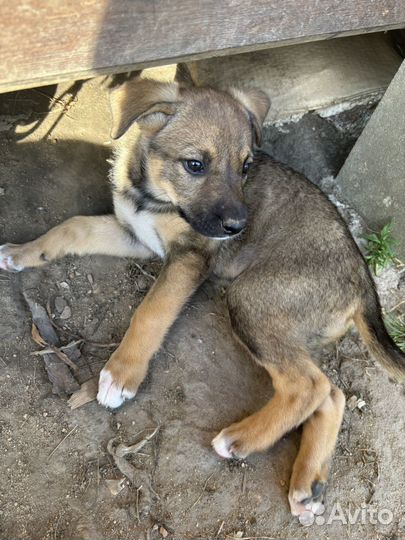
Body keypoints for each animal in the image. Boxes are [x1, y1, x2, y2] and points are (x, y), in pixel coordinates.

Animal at [0, 75, 404, 520]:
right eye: (195, 165)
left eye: (245, 167)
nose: (238, 227)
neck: (155, 197)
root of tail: (362, 279)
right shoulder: (137, 236)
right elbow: (73, 226)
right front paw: (21, 252)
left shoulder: (189, 259)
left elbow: (151, 312)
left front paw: (121, 375)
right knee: (333, 394)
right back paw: (307, 485)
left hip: (252, 298)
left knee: (310, 386)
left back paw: (241, 439)